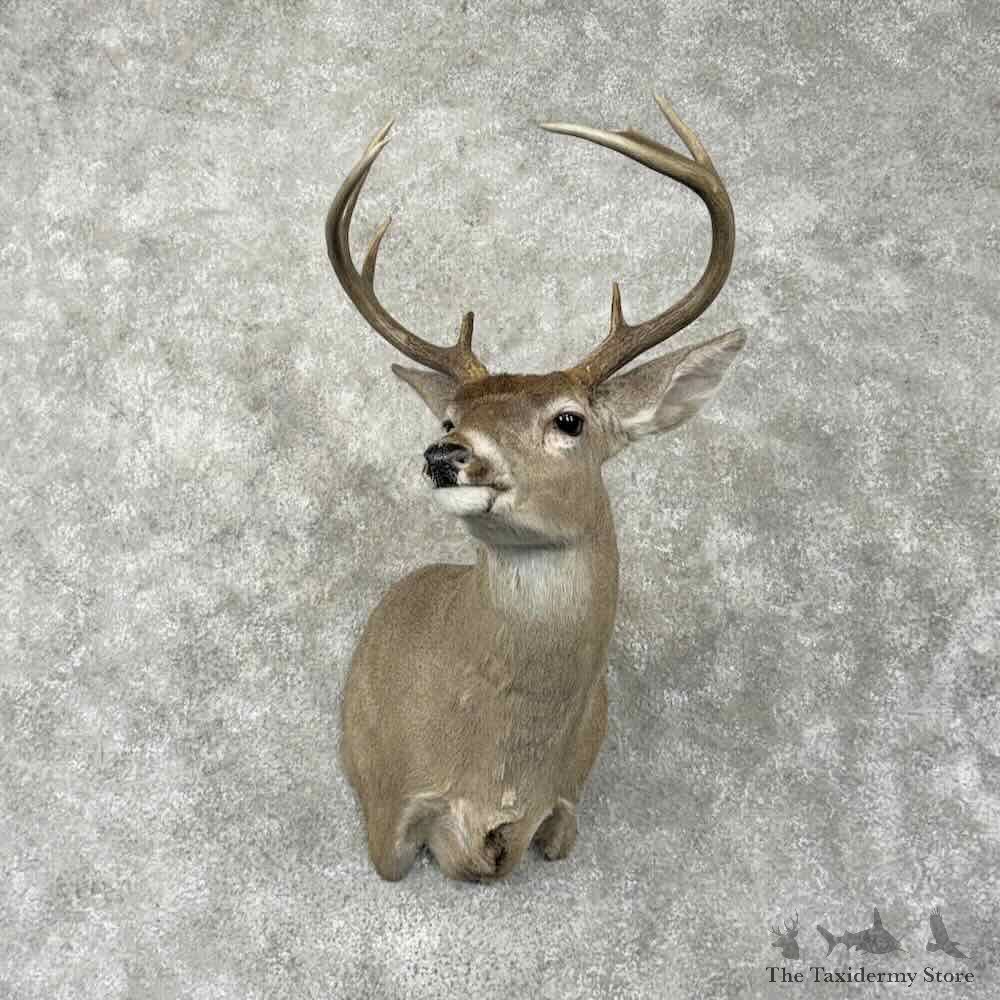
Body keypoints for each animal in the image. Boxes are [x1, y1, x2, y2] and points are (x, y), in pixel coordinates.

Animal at [327, 95, 746, 882]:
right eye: (450, 416)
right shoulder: (388, 815)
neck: (502, 777)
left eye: (569, 419)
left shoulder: (567, 809)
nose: (445, 455)